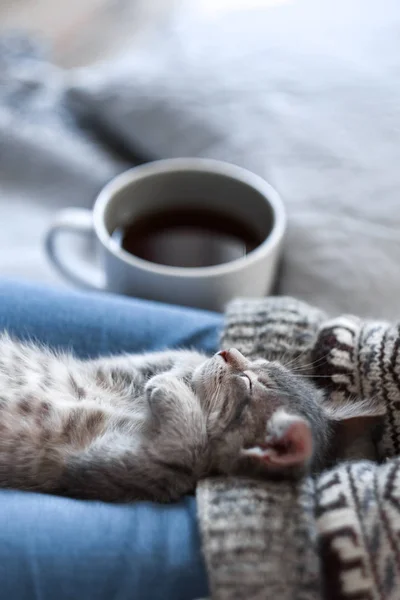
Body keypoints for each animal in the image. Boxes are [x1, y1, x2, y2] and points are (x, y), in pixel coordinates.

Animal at [0, 338, 384, 502]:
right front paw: (184, 370)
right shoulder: (114, 369)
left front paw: (176, 391)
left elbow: (187, 448)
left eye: (248, 384)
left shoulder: (107, 467)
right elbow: (170, 358)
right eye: (260, 362)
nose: (228, 351)